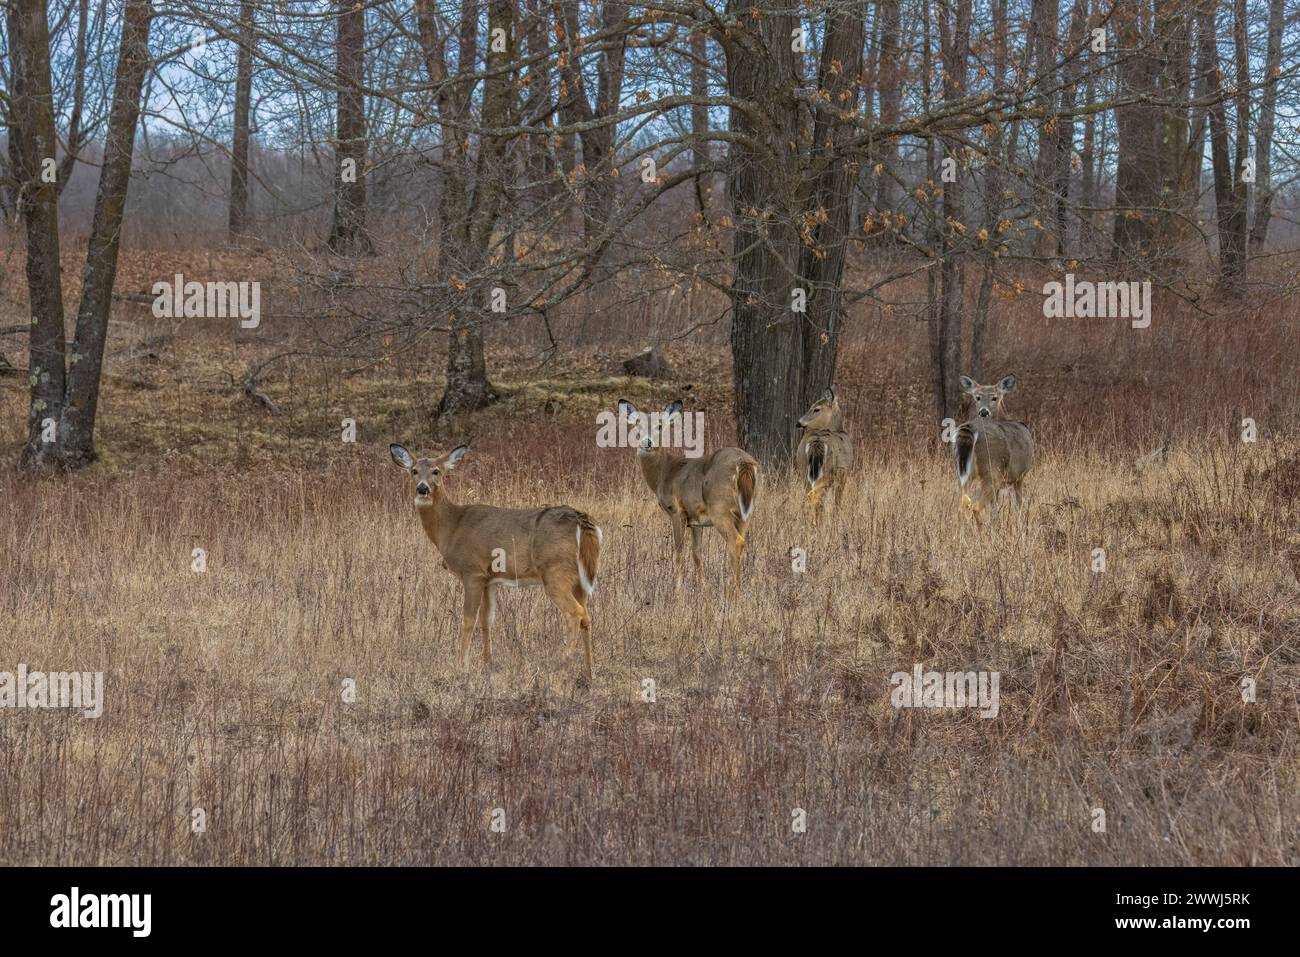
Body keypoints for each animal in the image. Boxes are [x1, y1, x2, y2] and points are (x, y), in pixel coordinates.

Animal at [390, 442, 603, 681]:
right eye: (414, 471)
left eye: (436, 471)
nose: (422, 489)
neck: (451, 527)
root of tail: (581, 520)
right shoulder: (489, 579)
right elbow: (486, 621)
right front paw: (487, 665)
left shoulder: (472, 572)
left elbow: (468, 620)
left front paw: (460, 667)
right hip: (580, 579)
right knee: (587, 616)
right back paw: (589, 673)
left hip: (555, 572)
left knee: (575, 613)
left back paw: (560, 664)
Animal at [613, 397, 759, 590]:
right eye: (637, 424)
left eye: (660, 426)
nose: (647, 442)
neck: (664, 474)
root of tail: (744, 464)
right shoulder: (696, 519)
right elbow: (697, 554)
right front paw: (702, 586)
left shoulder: (677, 511)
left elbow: (679, 552)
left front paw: (678, 588)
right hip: (745, 511)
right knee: (742, 541)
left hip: (720, 508)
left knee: (736, 542)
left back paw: (731, 589)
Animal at [790, 387, 852, 522]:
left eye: (816, 409)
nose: (798, 423)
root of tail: (817, 441)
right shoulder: (844, 473)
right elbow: (837, 501)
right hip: (826, 473)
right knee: (818, 500)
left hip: (803, 468)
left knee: (808, 497)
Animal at [951, 374, 1029, 522]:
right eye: (977, 397)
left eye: (994, 397)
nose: (983, 412)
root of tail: (970, 428)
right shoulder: (1019, 475)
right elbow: (1019, 505)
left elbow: (995, 508)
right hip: (991, 470)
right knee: (976, 507)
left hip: (964, 473)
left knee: (963, 505)